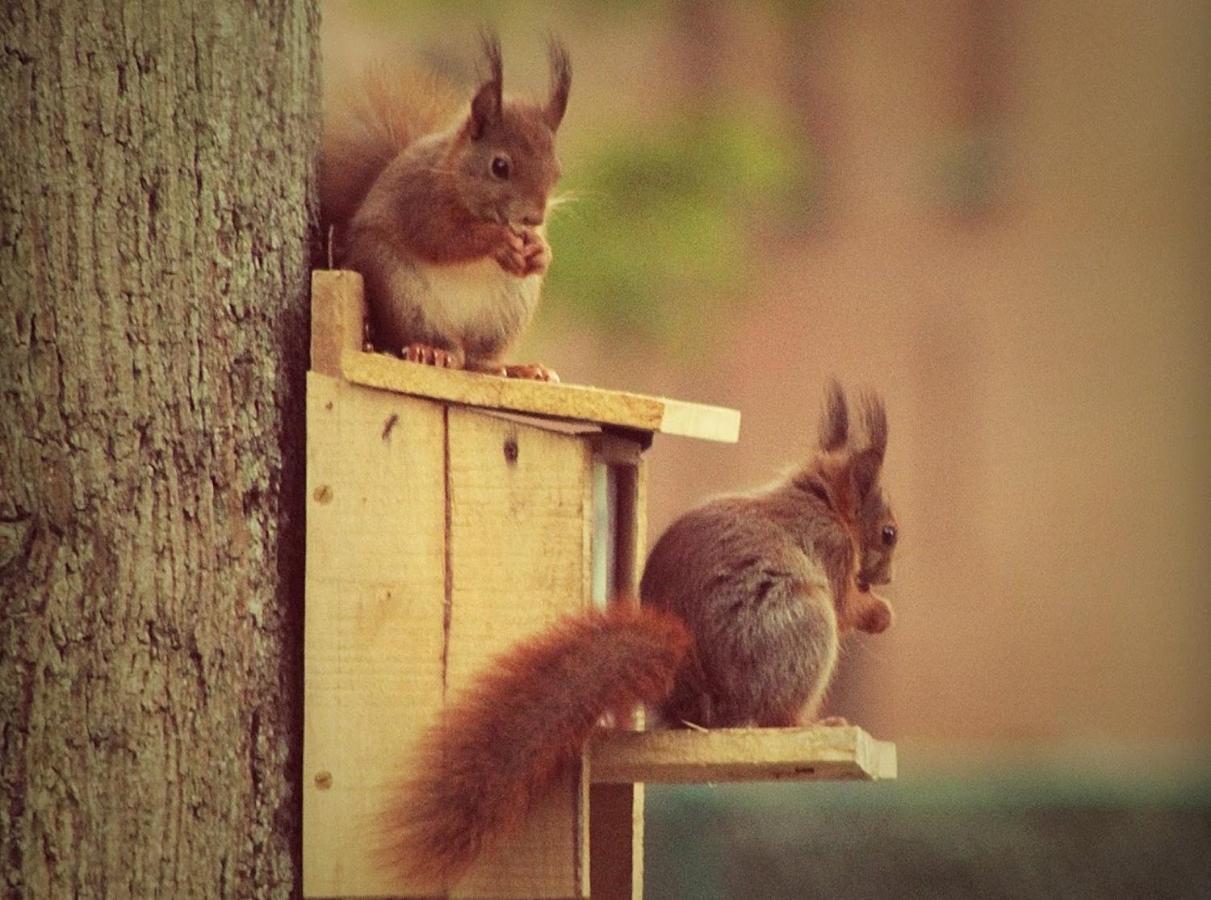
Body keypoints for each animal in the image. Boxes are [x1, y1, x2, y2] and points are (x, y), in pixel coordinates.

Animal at [319, 34, 569, 380]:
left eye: (557, 172)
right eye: (500, 166)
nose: (533, 218)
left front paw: (540, 252)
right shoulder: (420, 201)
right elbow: (443, 239)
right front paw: (498, 242)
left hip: (506, 311)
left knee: (476, 361)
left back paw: (519, 369)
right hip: (400, 289)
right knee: (444, 348)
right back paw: (433, 352)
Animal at [380, 382, 900, 886]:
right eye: (889, 532)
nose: (889, 577)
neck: (821, 501)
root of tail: (697, 691)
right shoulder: (831, 550)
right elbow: (846, 605)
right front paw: (880, 612)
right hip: (802, 627)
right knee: (775, 714)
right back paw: (815, 723)